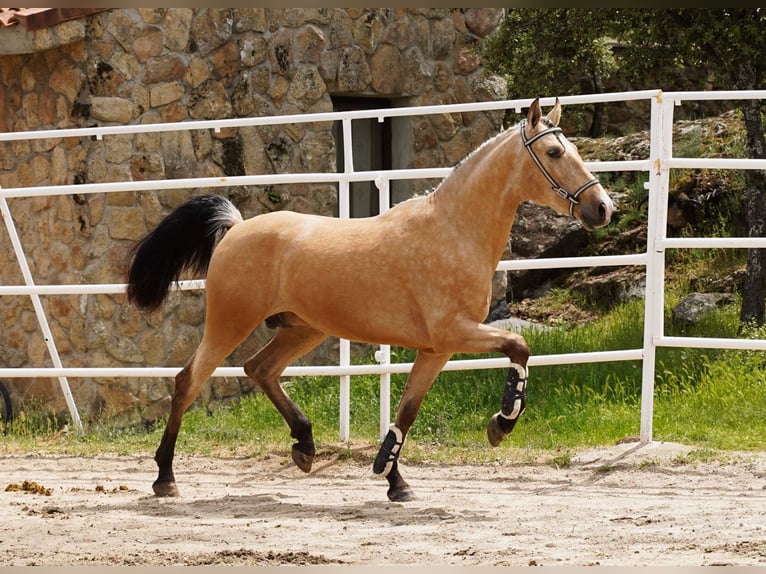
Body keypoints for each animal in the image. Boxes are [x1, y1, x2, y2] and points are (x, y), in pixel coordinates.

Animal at [125, 98, 613, 502]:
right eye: (554, 153)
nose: (603, 208)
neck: (454, 230)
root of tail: (238, 226)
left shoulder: (436, 350)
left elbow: (407, 411)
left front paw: (394, 479)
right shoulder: (454, 333)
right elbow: (520, 347)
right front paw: (501, 424)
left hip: (303, 329)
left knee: (259, 369)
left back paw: (305, 446)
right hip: (231, 322)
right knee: (188, 381)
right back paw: (165, 478)